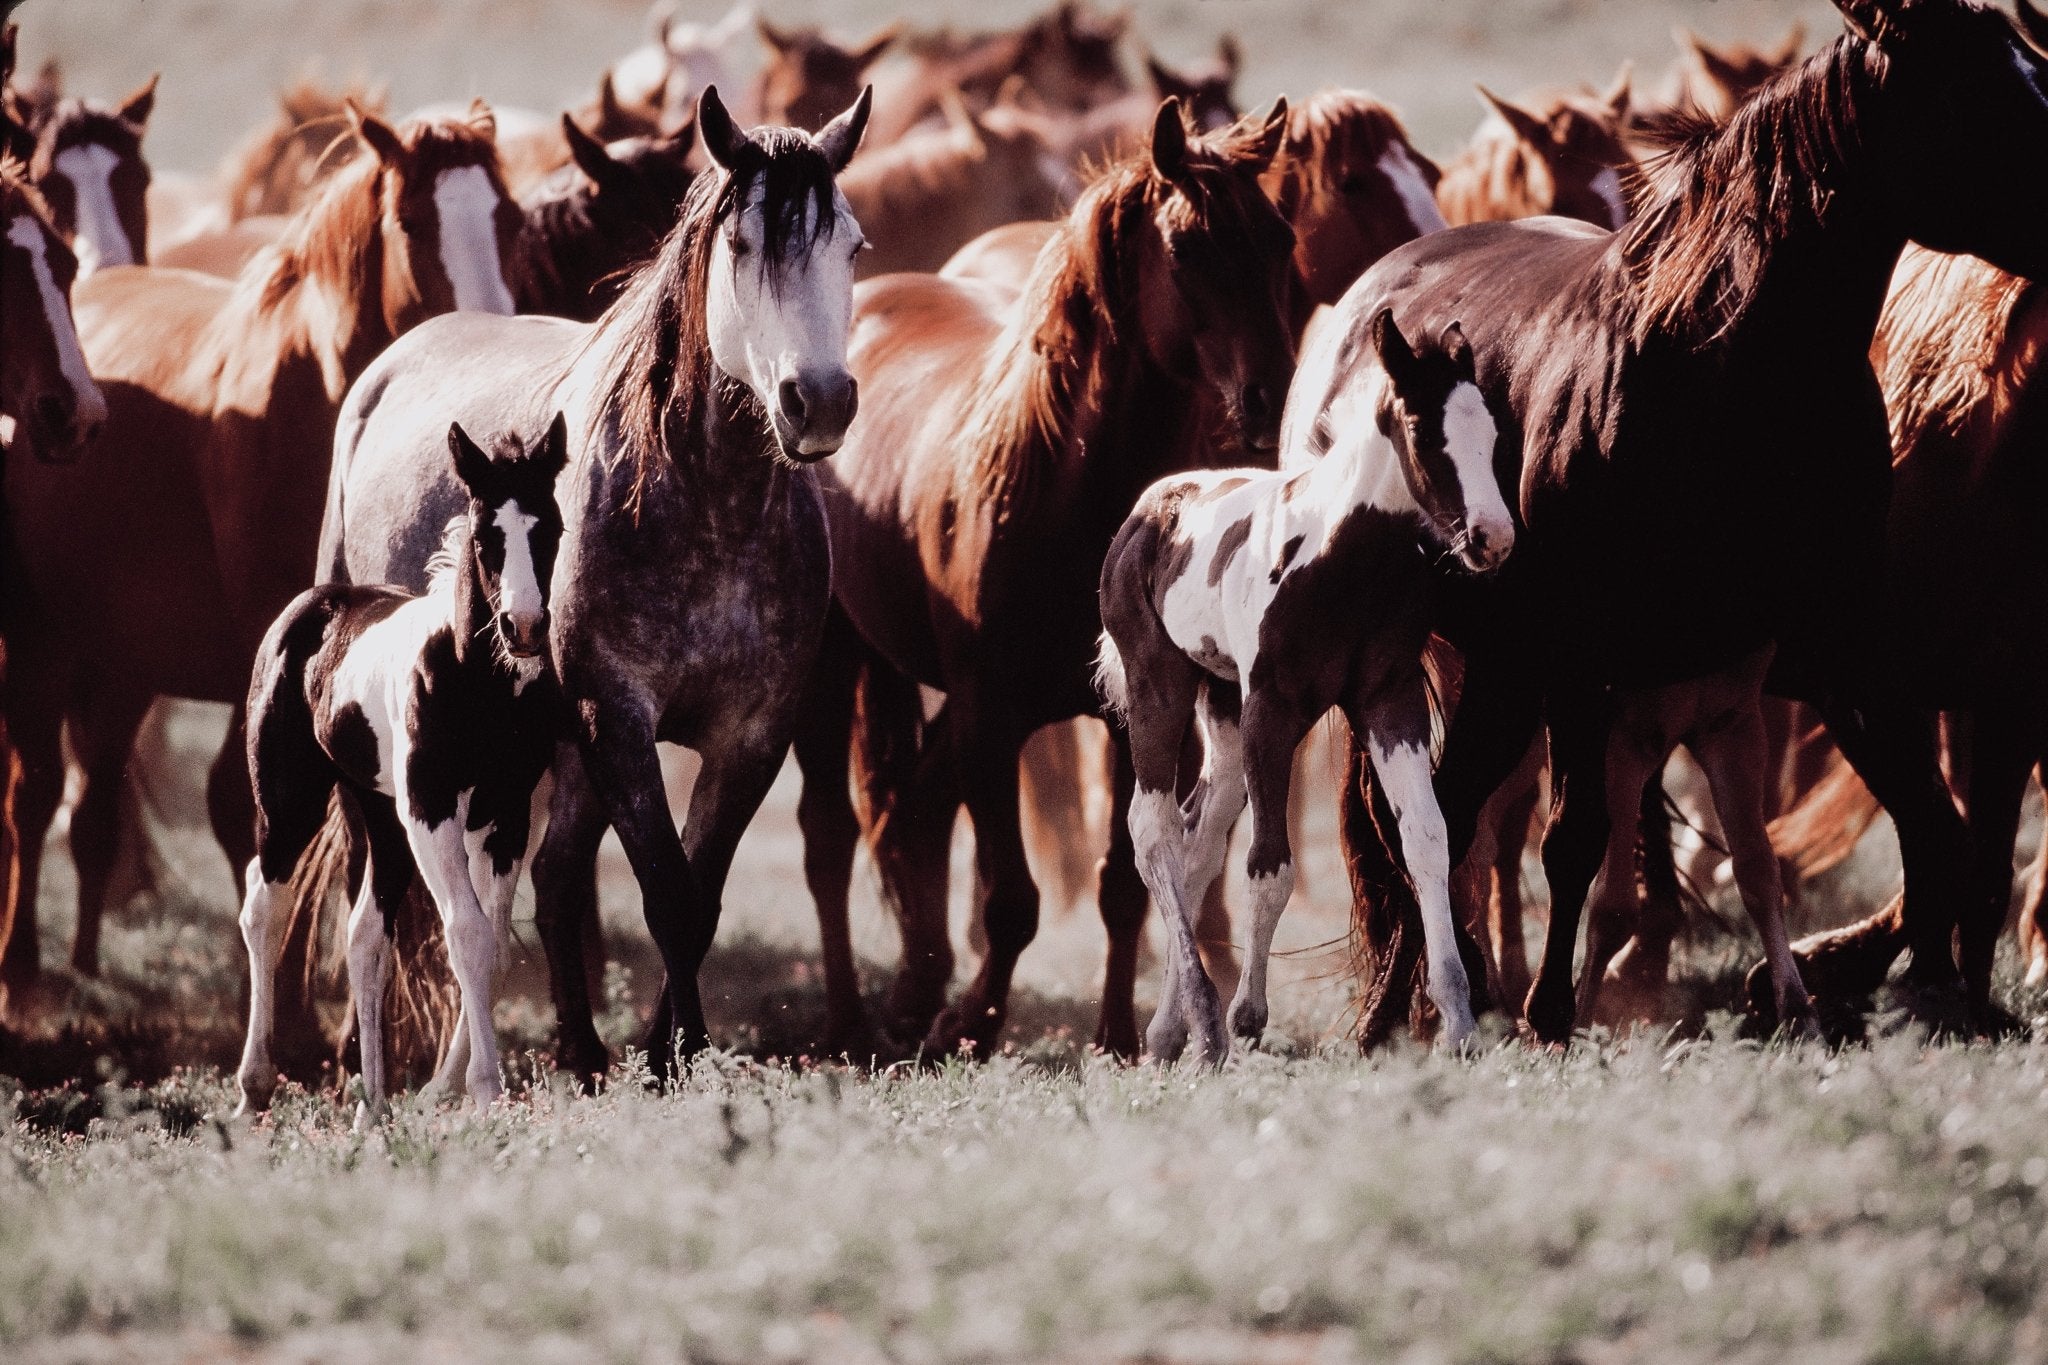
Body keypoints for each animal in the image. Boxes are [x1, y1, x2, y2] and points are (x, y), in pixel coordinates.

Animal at [0, 104, 518, 1002]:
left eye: (507, 218)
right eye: (412, 222)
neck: (314, 401)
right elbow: (254, 812)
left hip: (123, 662)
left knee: (94, 801)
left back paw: (87, 957)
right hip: (41, 640)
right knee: (33, 798)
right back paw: (24, 971)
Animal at [237, 417, 566, 1123]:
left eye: (551, 527)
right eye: (486, 536)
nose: (524, 627)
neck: (475, 683)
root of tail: (311, 606)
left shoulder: (507, 815)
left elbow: (493, 944)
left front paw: (460, 1089)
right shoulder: (431, 809)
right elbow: (467, 934)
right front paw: (485, 1090)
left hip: (381, 818)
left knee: (366, 936)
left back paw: (372, 1107)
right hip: (290, 802)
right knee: (263, 908)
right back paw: (253, 1090)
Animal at [789, 98, 1297, 1059]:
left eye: (1282, 238)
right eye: (1189, 247)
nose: (1269, 398)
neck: (1063, 491)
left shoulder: (1138, 714)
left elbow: (1128, 881)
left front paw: (1118, 1034)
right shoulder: (991, 717)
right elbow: (1012, 899)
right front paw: (971, 1026)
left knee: (914, 808)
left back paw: (913, 988)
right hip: (836, 664)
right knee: (831, 838)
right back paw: (848, 1020)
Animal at [1098, 308, 1513, 1065]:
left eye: (1491, 434)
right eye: (1423, 432)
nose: (1492, 537)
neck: (1339, 560)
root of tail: (1150, 508)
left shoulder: (1390, 702)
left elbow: (1428, 841)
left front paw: (1461, 1024)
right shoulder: (1273, 710)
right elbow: (1270, 864)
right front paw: (1248, 1015)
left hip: (1222, 708)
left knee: (1199, 838)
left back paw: (1170, 1030)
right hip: (1158, 689)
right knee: (1155, 832)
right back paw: (1205, 1022)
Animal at [1338, 0, 2048, 1048]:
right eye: (1982, 92)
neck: (1721, 377)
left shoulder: (1857, 664)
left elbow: (1942, 842)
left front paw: (1898, 993)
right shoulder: (1593, 664)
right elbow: (1579, 837)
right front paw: (1556, 1012)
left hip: (1504, 668)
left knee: (1451, 814)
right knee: (1429, 825)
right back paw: (1404, 1007)